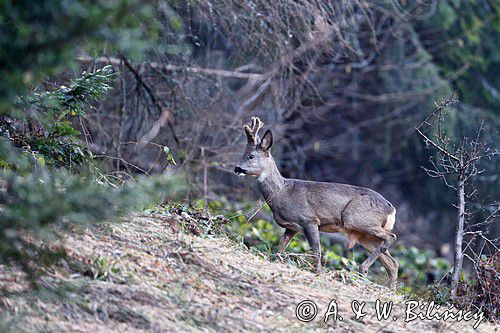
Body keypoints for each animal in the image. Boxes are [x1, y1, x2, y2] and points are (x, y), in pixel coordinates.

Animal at [234, 116, 398, 288]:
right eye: (243, 153)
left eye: (251, 156)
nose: (237, 168)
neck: (283, 192)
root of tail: (391, 210)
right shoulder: (291, 227)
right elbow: (281, 247)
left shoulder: (309, 219)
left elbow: (316, 251)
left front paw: (318, 273)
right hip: (364, 235)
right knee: (392, 263)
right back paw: (389, 289)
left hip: (355, 218)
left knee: (391, 237)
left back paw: (363, 269)